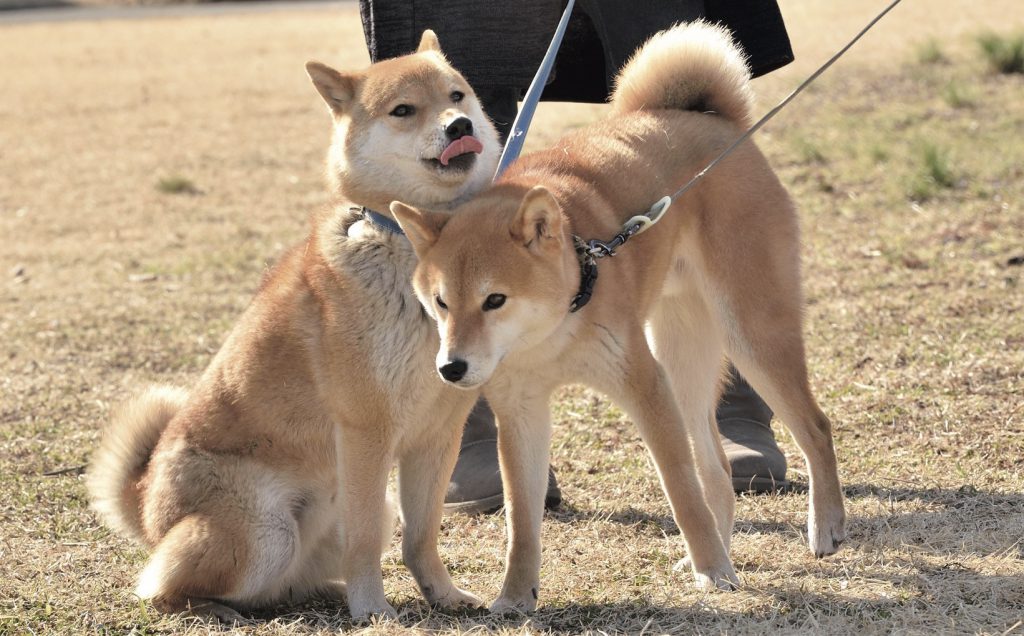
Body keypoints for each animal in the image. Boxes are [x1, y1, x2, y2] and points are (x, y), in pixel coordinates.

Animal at [86, 29, 501, 618]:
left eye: (457, 96)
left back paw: (324, 592)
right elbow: (365, 541)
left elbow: (422, 537)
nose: (459, 127)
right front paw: (374, 610)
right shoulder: (366, 433)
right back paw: (216, 608)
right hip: (266, 531)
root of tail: (146, 508)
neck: (414, 247)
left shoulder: (436, 435)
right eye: (404, 110)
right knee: (163, 587)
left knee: (283, 586)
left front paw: (443, 596)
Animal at [391, 22, 847, 614]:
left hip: (748, 332)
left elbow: (680, 491)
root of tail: (712, 122)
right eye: (441, 302)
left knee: (814, 428)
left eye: (495, 300)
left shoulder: (644, 386)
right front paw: (515, 598)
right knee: (719, 471)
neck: (555, 328)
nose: (451, 369)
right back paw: (715, 556)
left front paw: (714, 571)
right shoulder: (521, 411)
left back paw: (822, 528)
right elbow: (522, 521)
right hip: (682, 357)